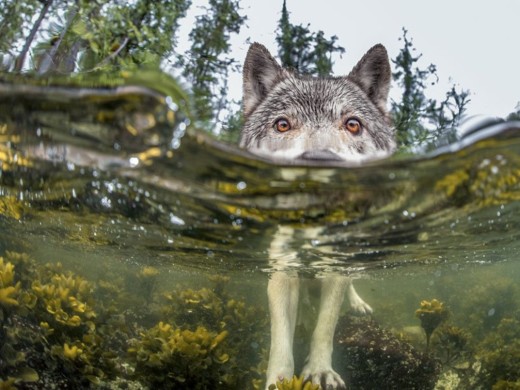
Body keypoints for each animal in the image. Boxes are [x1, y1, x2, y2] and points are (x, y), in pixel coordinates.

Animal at [240, 42, 394, 386]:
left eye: (353, 124)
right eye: (282, 124)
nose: (321, 162)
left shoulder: (335, 269)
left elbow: (325, 326)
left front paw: (320, 371)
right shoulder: (282, 270)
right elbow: (280, 338)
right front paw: (279, 381)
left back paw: (358, 304)